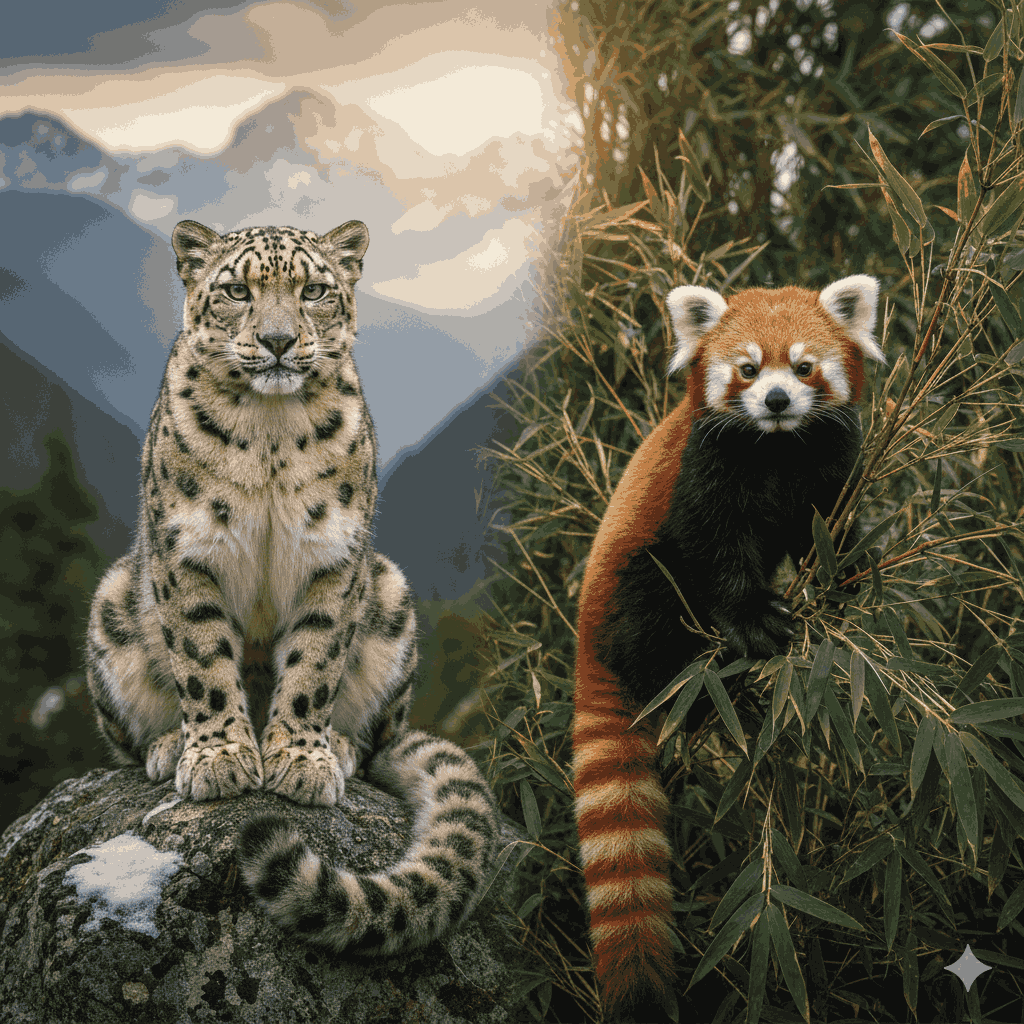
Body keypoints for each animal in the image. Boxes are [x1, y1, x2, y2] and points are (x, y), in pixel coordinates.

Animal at [85, 218, 498, 954]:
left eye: (313, 290)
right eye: (236, 290)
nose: (278, 340)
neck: (270, 432)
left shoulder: (334, 559)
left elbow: (314, 664)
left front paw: (301, 760)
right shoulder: (188, 551)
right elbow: (203, 661)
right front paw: (220, 757)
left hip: (391, 595)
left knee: (378, 737)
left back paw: (340, 747)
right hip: (112, 603)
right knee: (131, 735)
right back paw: (167, 747)